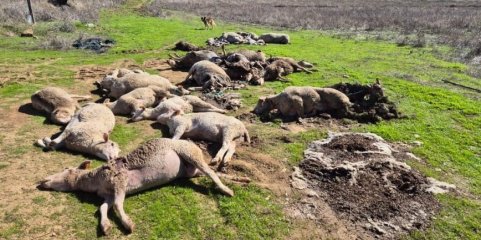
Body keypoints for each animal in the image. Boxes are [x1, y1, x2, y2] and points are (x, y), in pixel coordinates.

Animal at [38, 138, 233, 235]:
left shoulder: (120, 181)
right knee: (209, 172)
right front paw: (105, 226)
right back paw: (234, 179)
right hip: (189, 171)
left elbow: (117, 205)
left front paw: (127, 224)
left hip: (190, 154)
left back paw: (227, 190)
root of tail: (193, 144)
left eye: (67, 170)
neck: (94, 181)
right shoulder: (108, 194)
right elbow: (102, 208)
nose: (42, 181)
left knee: (210, 172)